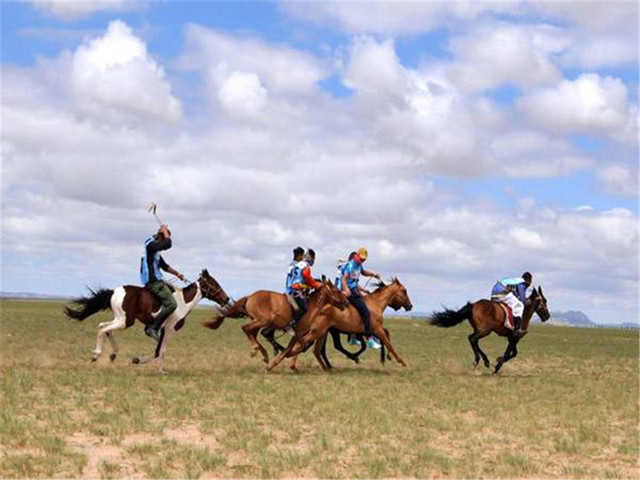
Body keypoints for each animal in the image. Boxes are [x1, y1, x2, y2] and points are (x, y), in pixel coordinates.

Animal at [62, 268, 231, 374]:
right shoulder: (168, 330)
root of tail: (114, 291)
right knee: (103, 329)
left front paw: (137, 360)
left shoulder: (160, 330)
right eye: (215, 283)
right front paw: (160, 370)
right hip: (125, 321)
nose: (227, 299)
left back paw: (113, 354)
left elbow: (157, 351)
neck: (183, 302)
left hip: (120, 319)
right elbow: (161, 351)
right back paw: (96, 355)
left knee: (103, 326)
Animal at [202, 276, 348, 366]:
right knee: (246, 328)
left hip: (260, 322)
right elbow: (301, 346)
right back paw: (256, 350)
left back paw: (265, 355)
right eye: (336, 290)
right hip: (263, 320)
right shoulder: (298, 332)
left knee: (253, 333)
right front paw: (285, 356)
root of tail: (249, 297)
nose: (346, 302)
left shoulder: (299, 333)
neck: (311, 306)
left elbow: (301, 346)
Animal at [268, 278, 412, 372]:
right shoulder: (376, 329)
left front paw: (387, 357)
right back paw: (285, 362)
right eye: (404, 291)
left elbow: (386, 339)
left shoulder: (373, 330)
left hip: (322, 333)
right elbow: (388, 343)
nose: (410, 306)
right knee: (303, 344)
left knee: (314, 349)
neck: (376, 303)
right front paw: (401, 362)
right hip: (318, 332)